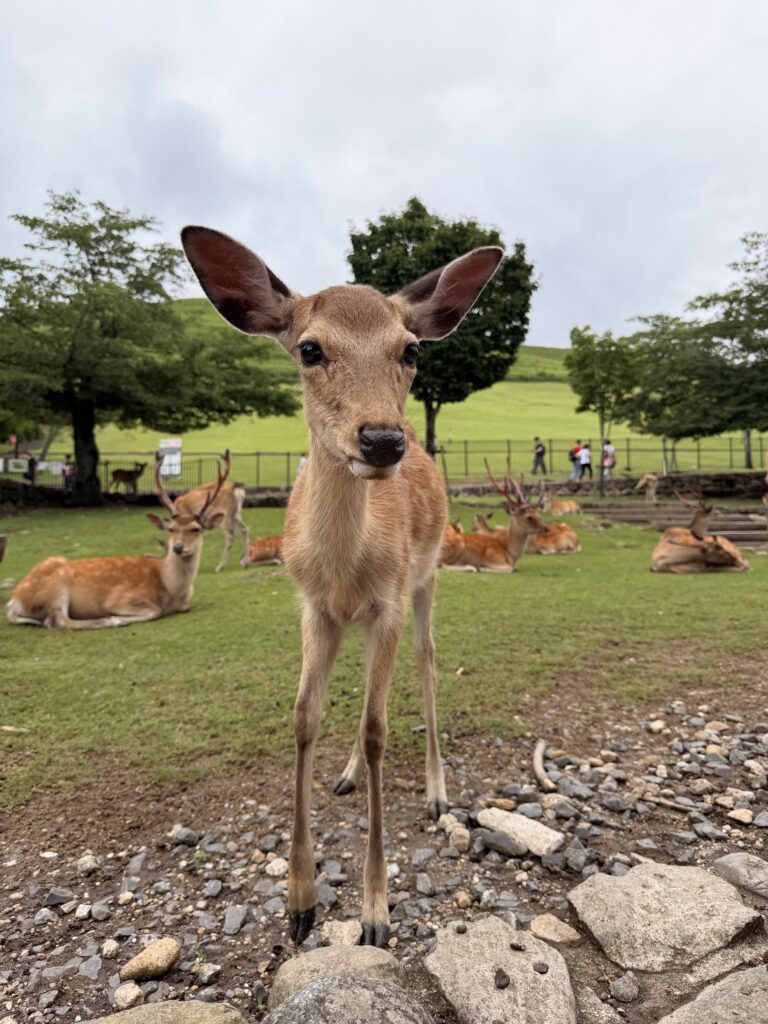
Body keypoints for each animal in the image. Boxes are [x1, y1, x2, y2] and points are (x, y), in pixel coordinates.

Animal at [7, 455, 228, 628]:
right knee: (59, 621)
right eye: (171, 529)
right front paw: (118, 617)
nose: (178, 547)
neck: (170, 590)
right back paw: (112, 621)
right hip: (55, 587)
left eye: (196, 529)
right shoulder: (120, 599)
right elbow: (155, 610)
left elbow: (184, 607)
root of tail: (14, 600)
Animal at [181, 224, 503, 949]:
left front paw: (375, 911)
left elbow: (381, 727)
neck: (344, 568)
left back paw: (437, 791)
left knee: (426, 663)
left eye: (410, 349)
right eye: (309, 347)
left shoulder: (387, 601)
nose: (382, 439)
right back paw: (349, 776)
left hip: (426, 578)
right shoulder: (314, 608)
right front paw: (300, 903)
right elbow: (305, 715)